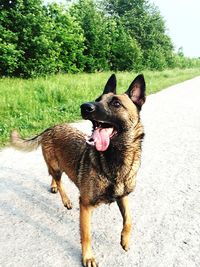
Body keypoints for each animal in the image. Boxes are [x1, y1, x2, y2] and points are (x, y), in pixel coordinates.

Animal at [10, 74, 145, 267]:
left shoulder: (123, 196)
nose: (85, 106)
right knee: (59, 181)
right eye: (97, 99)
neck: (114, 160)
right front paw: (88, 257)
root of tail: (51, 127)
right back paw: (65, 199)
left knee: (52, 176)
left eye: (116, 103)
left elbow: (129, 220)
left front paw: (125, 240)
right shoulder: (86, 205)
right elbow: (86, 235)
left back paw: (52, 186)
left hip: (56, 165)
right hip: (56, 167)